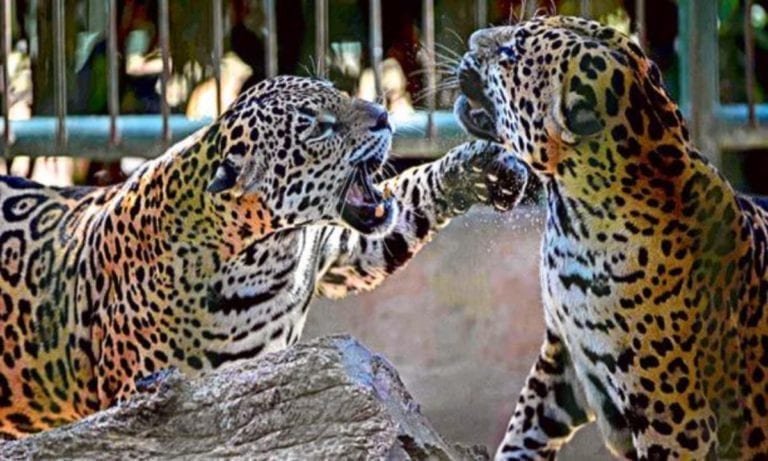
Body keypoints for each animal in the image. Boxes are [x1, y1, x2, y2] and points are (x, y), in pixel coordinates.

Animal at [0, 75, 529, 439]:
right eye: (319, 128)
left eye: (341, 93)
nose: (384, 114)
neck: (267, 252)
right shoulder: (143, 400)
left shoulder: (336, 252)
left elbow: (408, 201)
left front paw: (481, 166)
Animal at [455, 15, 768, 461]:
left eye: (511, 52)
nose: (472, 40)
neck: (572, 218)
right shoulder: (563, 359)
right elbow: (524, 430)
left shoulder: (677, 420)